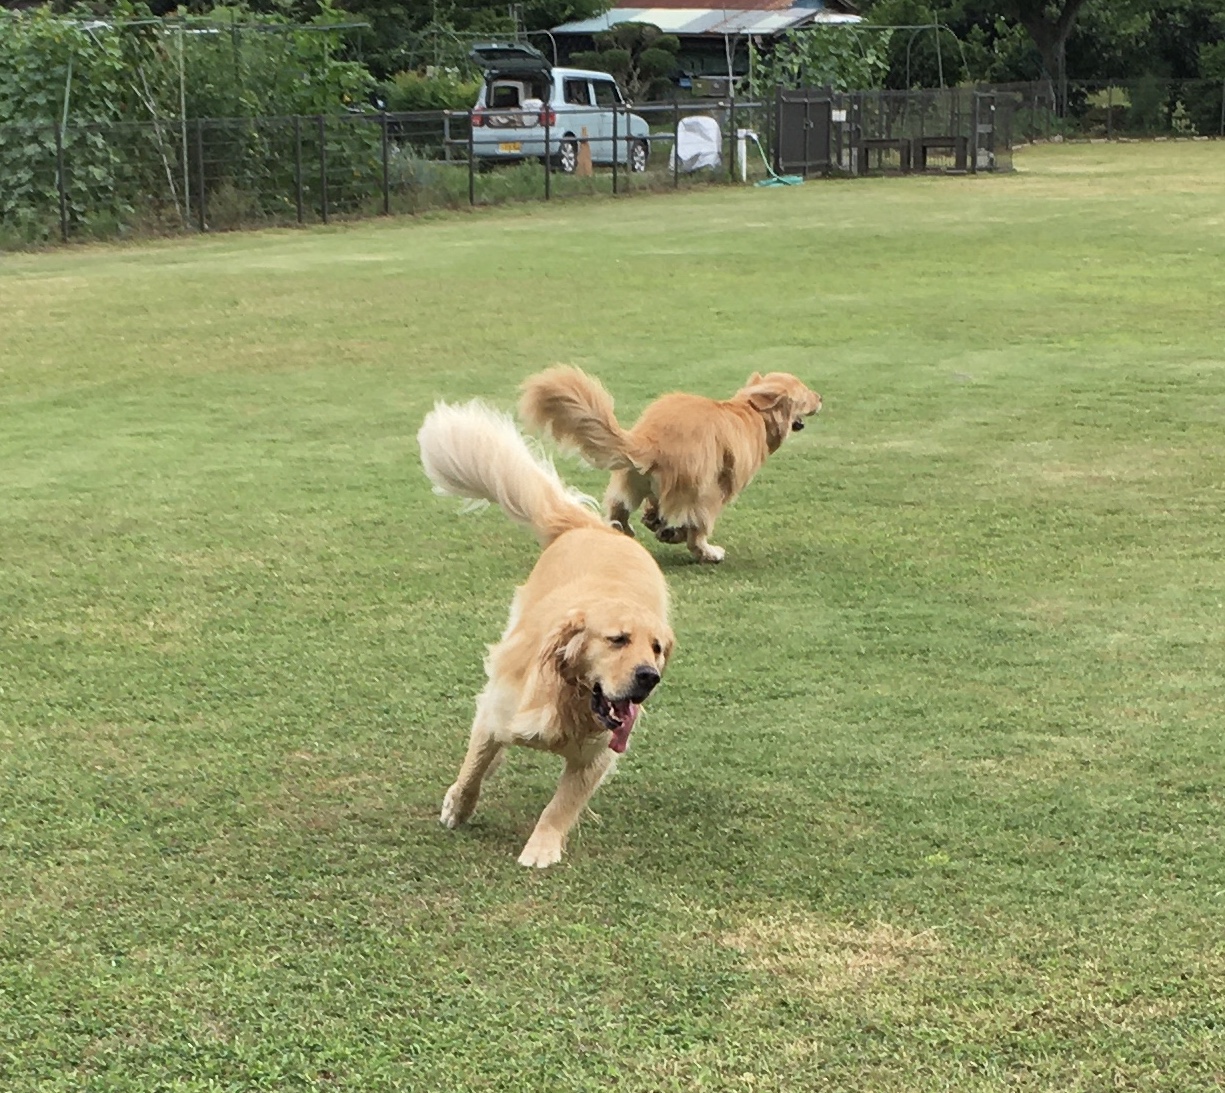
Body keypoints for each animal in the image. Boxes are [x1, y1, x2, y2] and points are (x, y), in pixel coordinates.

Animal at [417, 400, 675, 868]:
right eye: (617, 639)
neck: (567, 696)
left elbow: (563, 803)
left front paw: (542, 846)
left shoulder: (597, 756)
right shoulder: (496, 713)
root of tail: (594, 529)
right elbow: (474, 767)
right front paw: (457, 806)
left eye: (657, 649)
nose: (650, 677)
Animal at [519, 368, 822, 563]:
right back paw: (707, 551)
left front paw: (656, 522)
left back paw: (630, 530)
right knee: (695, 534)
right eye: (806, 394)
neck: (751, 411)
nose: (821, 397)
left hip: (632, 481)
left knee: (619, 512)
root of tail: (650, 442)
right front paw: (670, 531)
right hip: (706, 492)